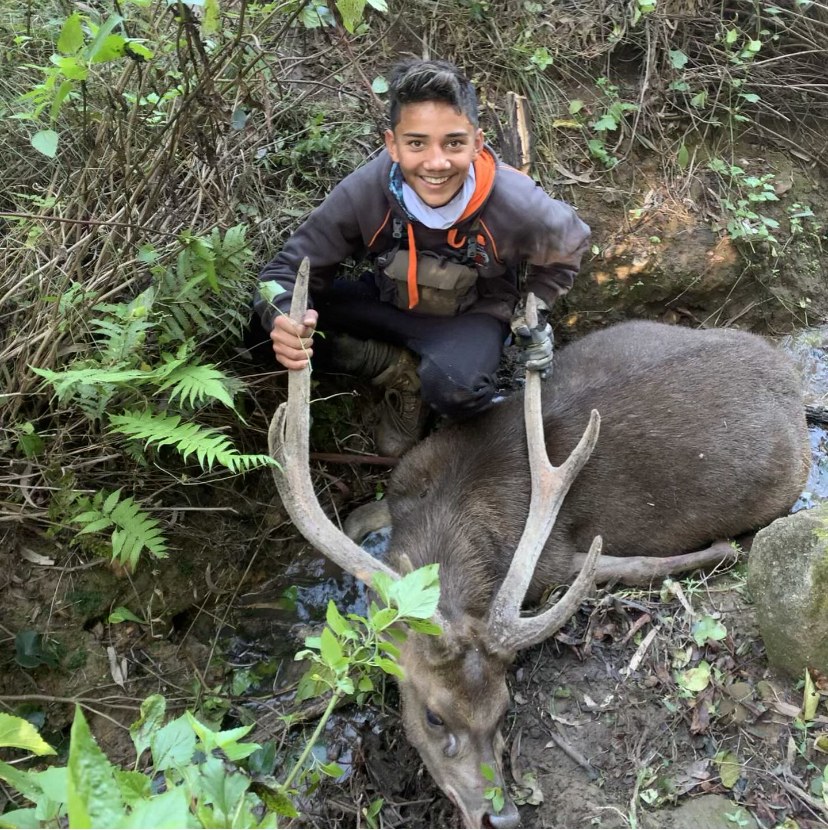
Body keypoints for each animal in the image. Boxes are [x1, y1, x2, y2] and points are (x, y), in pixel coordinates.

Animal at [268, 259, 811, 829]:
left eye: (504, 710)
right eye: (434, 716)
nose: (500, 815)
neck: (450, 503)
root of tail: (792, 382)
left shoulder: (552, 563)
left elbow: (623, 566)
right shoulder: (398, 487)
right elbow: (353, 523)